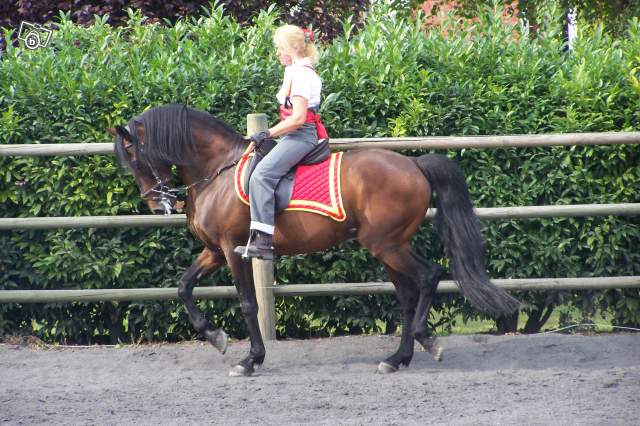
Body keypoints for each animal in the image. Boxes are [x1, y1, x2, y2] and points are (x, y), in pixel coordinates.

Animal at [108, 104, 519, 376]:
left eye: (132, 154)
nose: (157, 203)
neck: (217, 171)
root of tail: (413, 164)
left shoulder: (233, 250)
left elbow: (247, 303)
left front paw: (249, 359)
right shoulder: (213, 251)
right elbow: (183, 287)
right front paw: (215, 336)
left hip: (387, 245)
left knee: (429, 276)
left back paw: (425, 341)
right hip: (389, 247)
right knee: (407, 294)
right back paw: (396, 358)